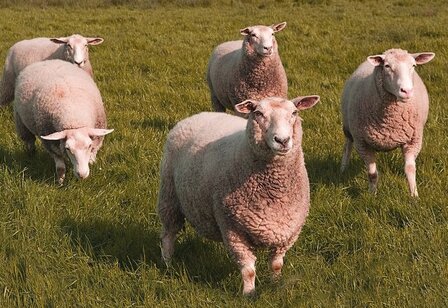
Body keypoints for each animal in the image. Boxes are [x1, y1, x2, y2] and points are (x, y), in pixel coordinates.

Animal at [158, 95, 318, 294]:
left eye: (294, 113)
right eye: (258, 113)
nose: (282, 140)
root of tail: (197, 115)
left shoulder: (286, 233)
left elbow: (276, 265)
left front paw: (275, 285)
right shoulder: (232, 229)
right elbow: (248, 270)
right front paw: (249, 294)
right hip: (169, 195)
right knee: (168, 234)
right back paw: (167, 264)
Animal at [344, 48, 434, 197]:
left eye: (413, 65)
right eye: (387, 66)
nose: (406, 91)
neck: (390, 121)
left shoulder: (413, 141)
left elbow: (410, 169)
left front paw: (414, 196)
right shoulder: (362, 144)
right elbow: (372, 174)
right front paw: (372, 196)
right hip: (348, 129)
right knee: (347, 146)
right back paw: (343, 168)